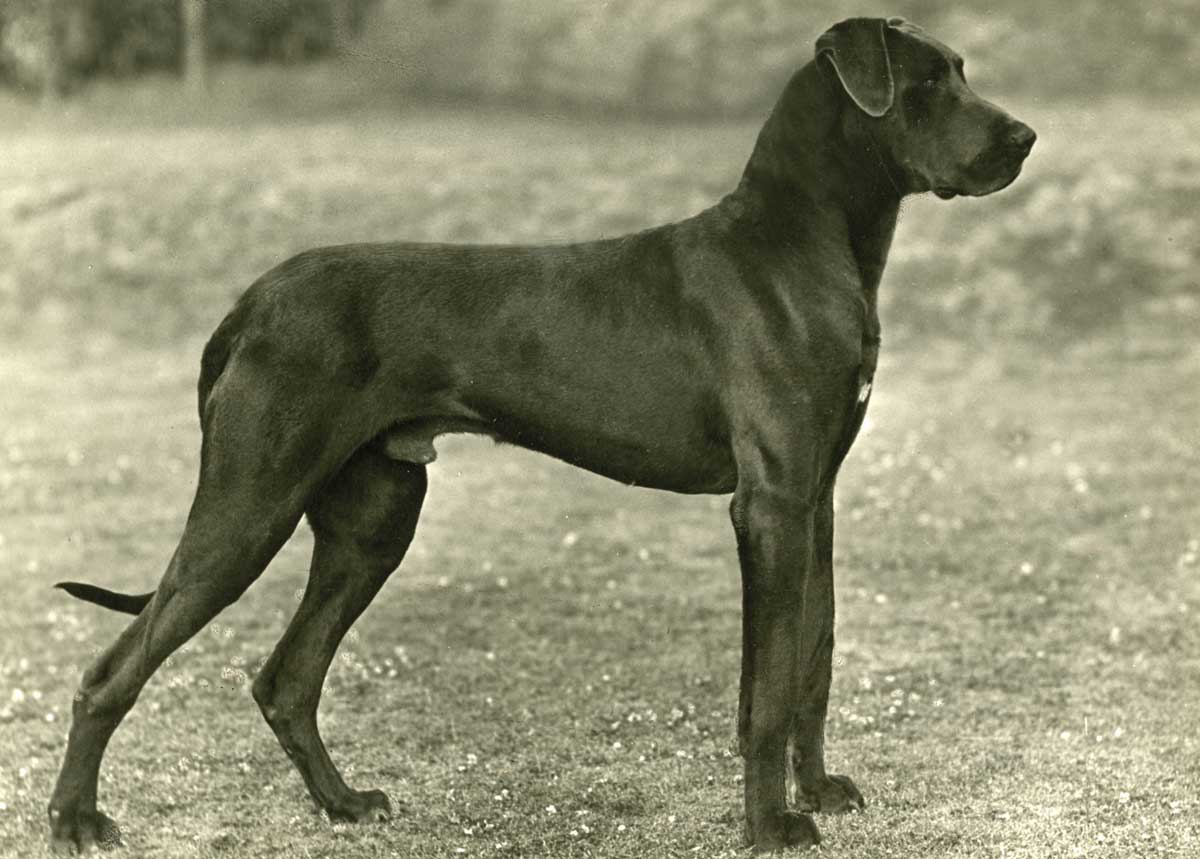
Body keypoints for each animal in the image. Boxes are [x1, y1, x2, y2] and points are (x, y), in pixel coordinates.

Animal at [51, 18, 1036, 854]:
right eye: (927, 83)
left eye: (962, 71)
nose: (1024, 139)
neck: (805, 241)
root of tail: (249, 303)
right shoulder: (771, 505)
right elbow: (765, 685)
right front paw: (772, 825)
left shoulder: (814, 500)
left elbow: (811, 661)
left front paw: (819, 789)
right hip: (248, 507)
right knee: (112, 672)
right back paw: (76, 819)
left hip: (372, 521)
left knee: (285, 679)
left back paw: (344, 803)